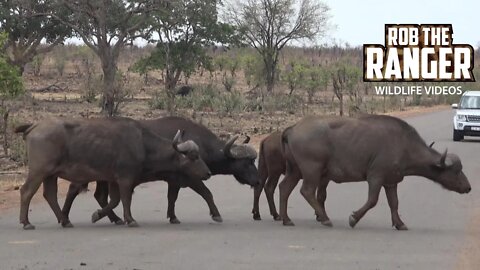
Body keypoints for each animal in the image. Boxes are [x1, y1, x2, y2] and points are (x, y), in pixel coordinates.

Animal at [14, 117, 210, 229]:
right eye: (194, 157)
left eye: (199, 155)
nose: (207, 173)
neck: (142, 144)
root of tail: (35, 126)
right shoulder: (125, 179)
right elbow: (125, 199)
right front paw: (130, 219)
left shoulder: (114, 180)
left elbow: (114, 200)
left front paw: (98, 215)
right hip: (39, 171)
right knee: (26, 192)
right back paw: (26, 222)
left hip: (50, 175)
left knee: (50, 195)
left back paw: (65, 220)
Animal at [62, 116, 258, 224]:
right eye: (248, 162)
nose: (257, 180)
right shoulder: (192, 178)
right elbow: (207, 193)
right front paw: (216, 215)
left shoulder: (174, 180)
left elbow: (172, 198)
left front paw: (172, 217)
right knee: (74, 189)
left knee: (100, 196)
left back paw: (114, 218)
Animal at [280, 114, 470, 230]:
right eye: (456, 171)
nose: (468, 187)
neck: (404, 145)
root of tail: (294, 128)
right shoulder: (375, 178)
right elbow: (372, 200)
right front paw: (354, 218)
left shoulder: (391, 182)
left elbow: (394, 203)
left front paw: (400, 223)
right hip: (312, 170)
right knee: (307, 191)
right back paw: (325, 218)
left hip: (294, 171)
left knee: (284, 188)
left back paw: (286, 219)